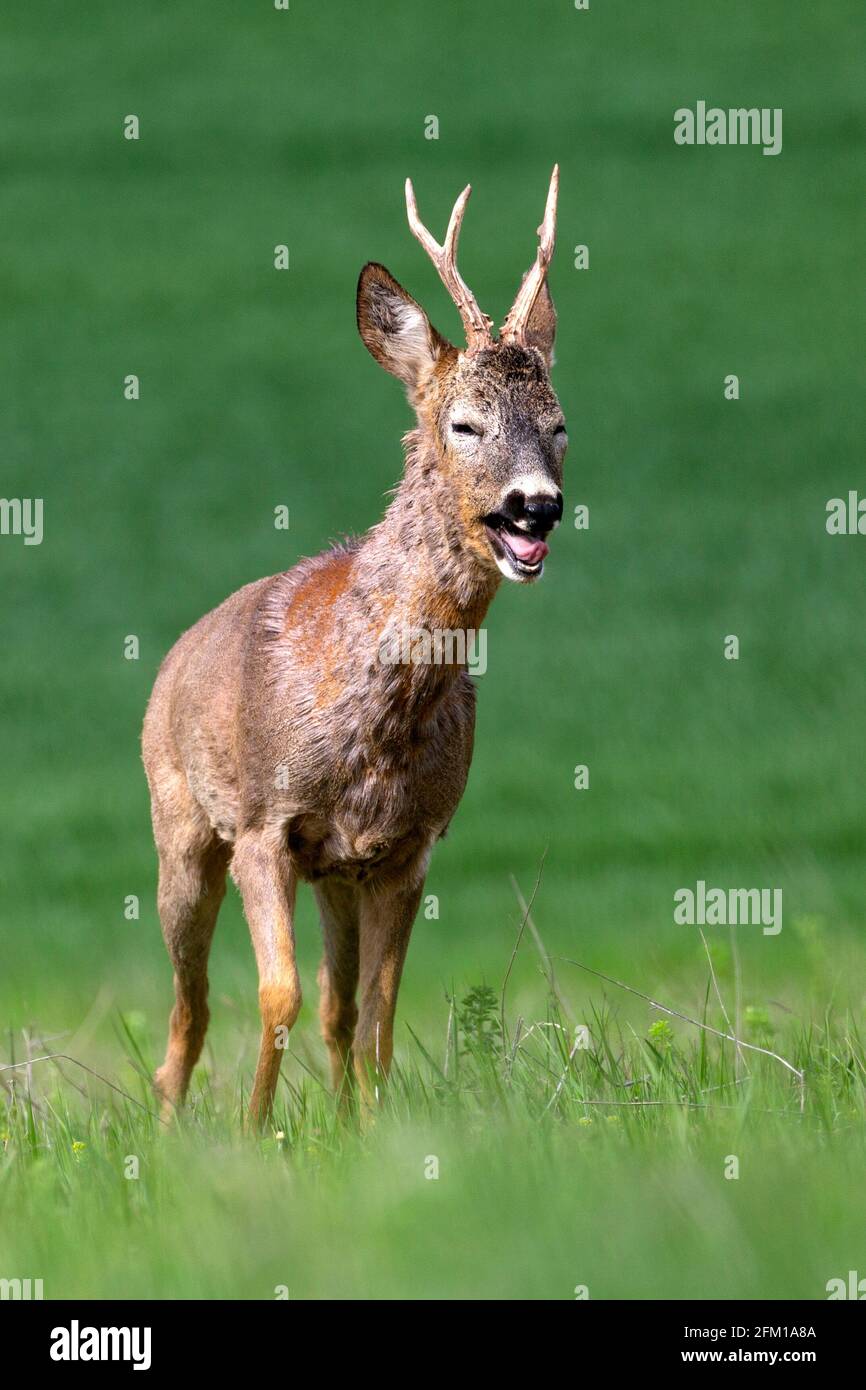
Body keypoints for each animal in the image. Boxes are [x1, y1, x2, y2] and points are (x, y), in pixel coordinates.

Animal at [143, 165, 569, 1128]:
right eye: (464, 424)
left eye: (561, 423)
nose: (536, 505)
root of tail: (175, 655)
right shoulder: (261, 824)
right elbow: (278, 995)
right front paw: (252, 1133)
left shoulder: (407, 845)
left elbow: (374, 1009)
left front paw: (371, 1135)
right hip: (178, 822)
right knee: (190, 1005)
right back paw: (167, 1124)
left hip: (334, 872)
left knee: (336, 1009)